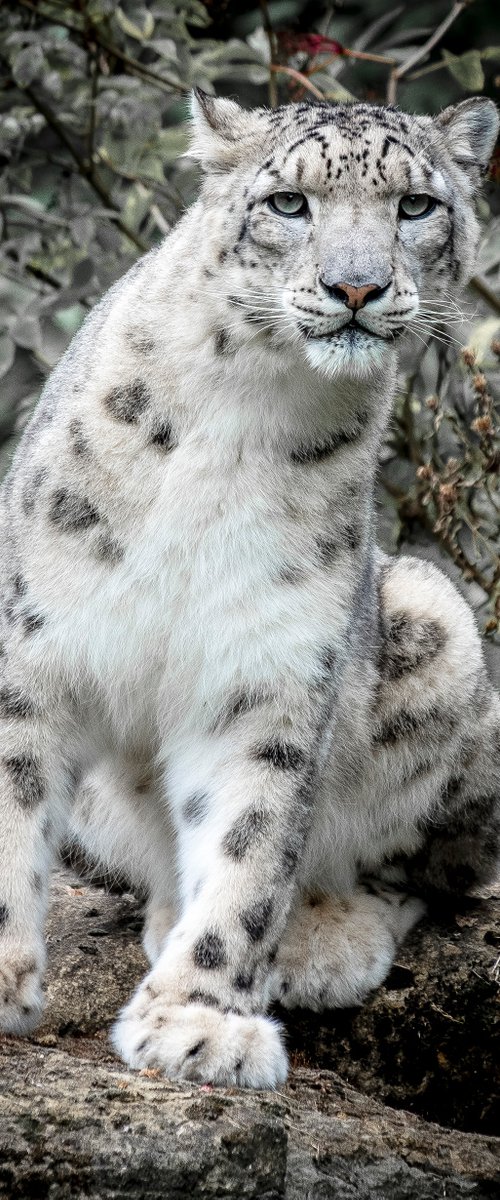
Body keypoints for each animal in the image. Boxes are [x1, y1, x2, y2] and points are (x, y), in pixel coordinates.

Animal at [0, 93, 498, 1089]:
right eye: (289, 203)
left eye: (417, 205)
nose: (356, 287)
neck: (247, 405)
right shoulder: (37, 638)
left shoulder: (269, 670)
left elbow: (252, 841)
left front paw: (201, 1020)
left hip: (442, 625)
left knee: (431, 866)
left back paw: (319, 941)